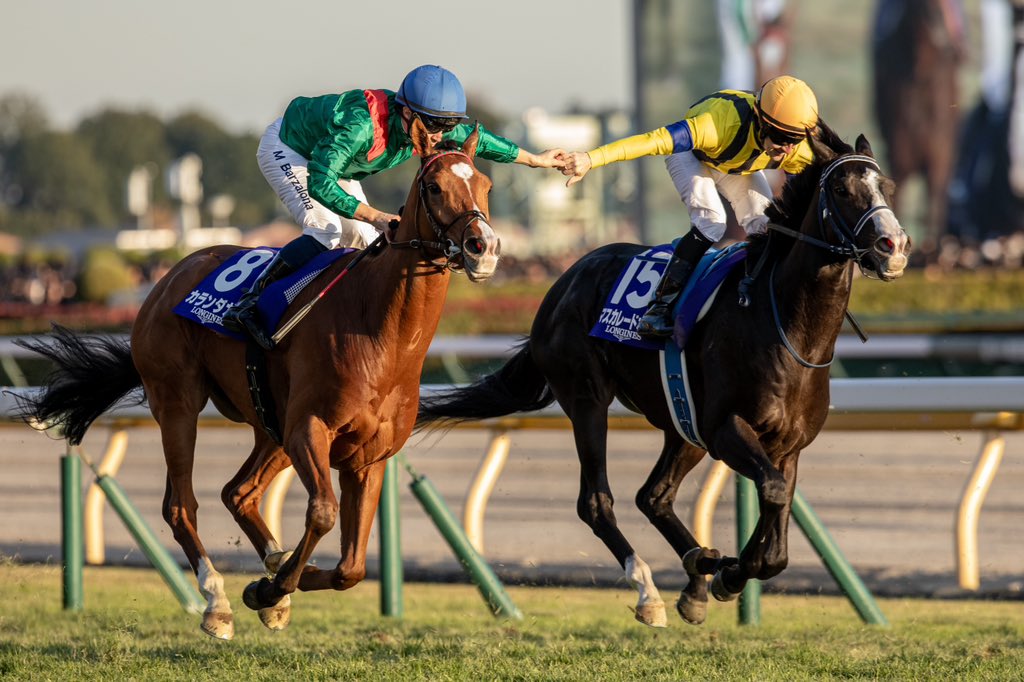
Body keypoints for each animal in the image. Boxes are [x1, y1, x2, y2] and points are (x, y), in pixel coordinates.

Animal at [14, 119, 498, 640]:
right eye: (434, 186)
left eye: (486, 185)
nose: (484, 246)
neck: (380, 332)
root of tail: (169, 277)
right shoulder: (309, 428)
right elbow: (322, 512)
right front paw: (268, 587)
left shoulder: (369, 457)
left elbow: (351, 569)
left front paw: (278, 585)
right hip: (178, 403)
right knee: (181, 505)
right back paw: (217, 602)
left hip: (270, 426)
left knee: (238, 493)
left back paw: (273, 571)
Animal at [416, 123, 910, 628]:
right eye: (841, 189)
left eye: (886, 187)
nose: (893, 247)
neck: (786, 326)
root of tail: (562, 284)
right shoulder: (725, 427)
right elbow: (770, 496)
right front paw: (730, 573)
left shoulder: (787, 445)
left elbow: (777, 537)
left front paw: (726, 569)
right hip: (588, 400)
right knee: (597, 502)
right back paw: (650, 591)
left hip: (682, 424)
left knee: (652, 496)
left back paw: (697, 571)